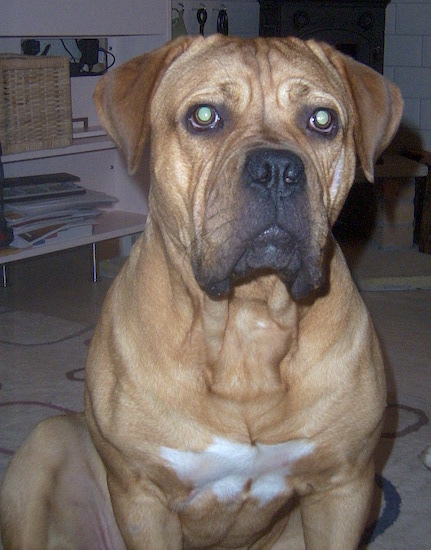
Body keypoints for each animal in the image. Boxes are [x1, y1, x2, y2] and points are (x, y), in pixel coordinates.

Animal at [1, 35, 404, 550]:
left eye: (322, 120)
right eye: (205, 115)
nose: (277, 168)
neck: (248, 318)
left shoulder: (344, 487)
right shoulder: (142, 498)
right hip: (45, 439)